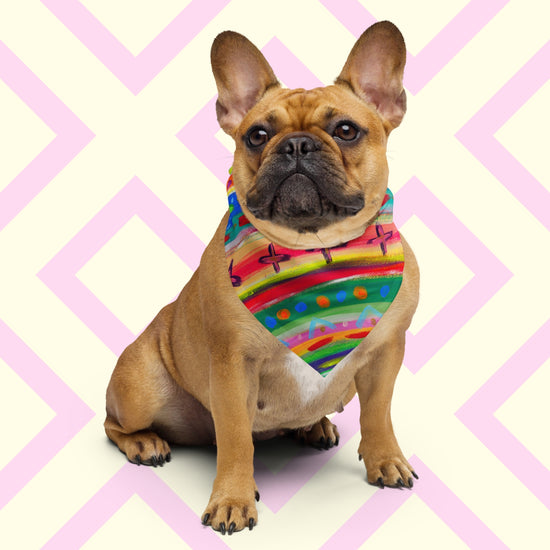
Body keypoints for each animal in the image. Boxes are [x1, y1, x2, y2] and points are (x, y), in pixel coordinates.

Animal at [104, 20, 422, 536]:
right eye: (256, 135)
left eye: (346, 130)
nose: (295, 144)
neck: (315, 248)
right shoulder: (233, 366)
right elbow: (236, 439)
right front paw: (232, 499)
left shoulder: (385, 353)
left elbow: (379, 414)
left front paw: (385, 460)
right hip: (140, 387)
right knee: (115, 424)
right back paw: (145, 443)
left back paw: (314, 426)